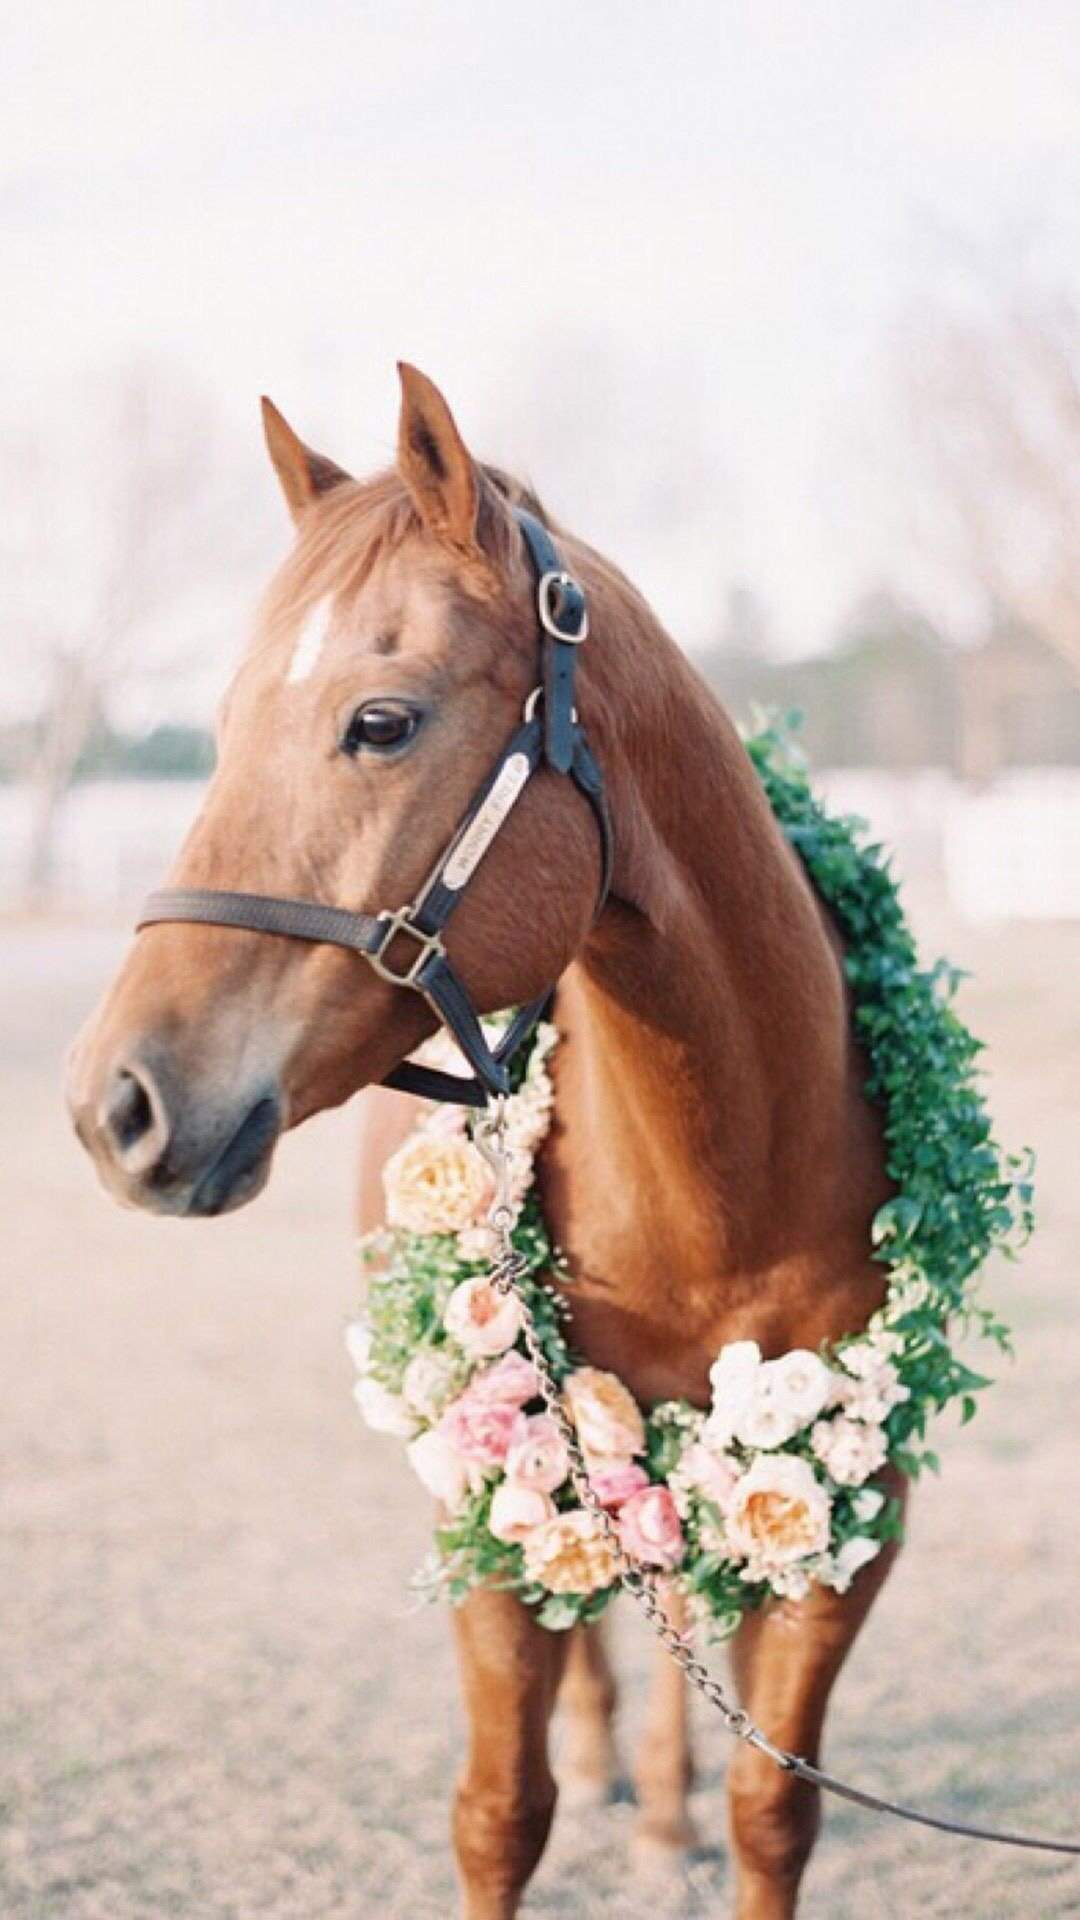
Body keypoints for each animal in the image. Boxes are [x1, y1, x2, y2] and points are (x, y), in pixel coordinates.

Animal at [67, 363, 902, 1919]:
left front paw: (704, 1814)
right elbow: (502, 1813)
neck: (721, 1194)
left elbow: (774, 1809)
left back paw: (662, 1811)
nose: (116, 1104)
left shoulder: (852, 1514)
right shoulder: (493, 1507)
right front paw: (570, 1781)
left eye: (382, 722)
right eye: (222, 724)